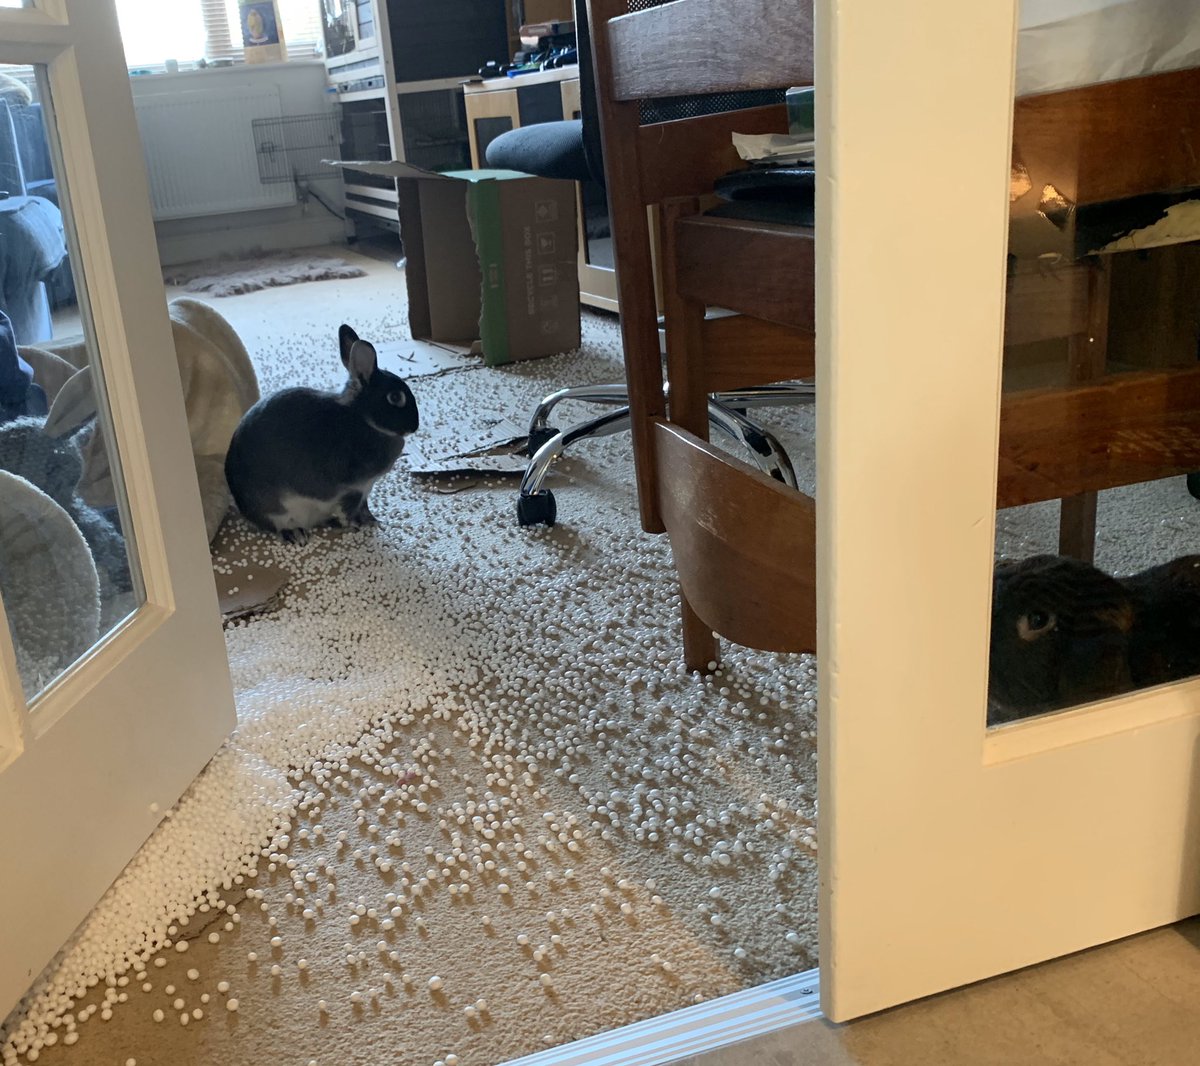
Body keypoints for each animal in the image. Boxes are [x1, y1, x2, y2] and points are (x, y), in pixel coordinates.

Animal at [224, 324, 419, 545]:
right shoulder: (353, 489)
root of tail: (245, 509)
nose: (415, 426)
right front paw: (358, 525)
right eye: (395, 397)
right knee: (278, 524)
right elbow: (348, 512)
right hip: (274, 506)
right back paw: (296, 534)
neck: (363, 419)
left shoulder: (365, 490)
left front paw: (372, 521)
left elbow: (364, 508)